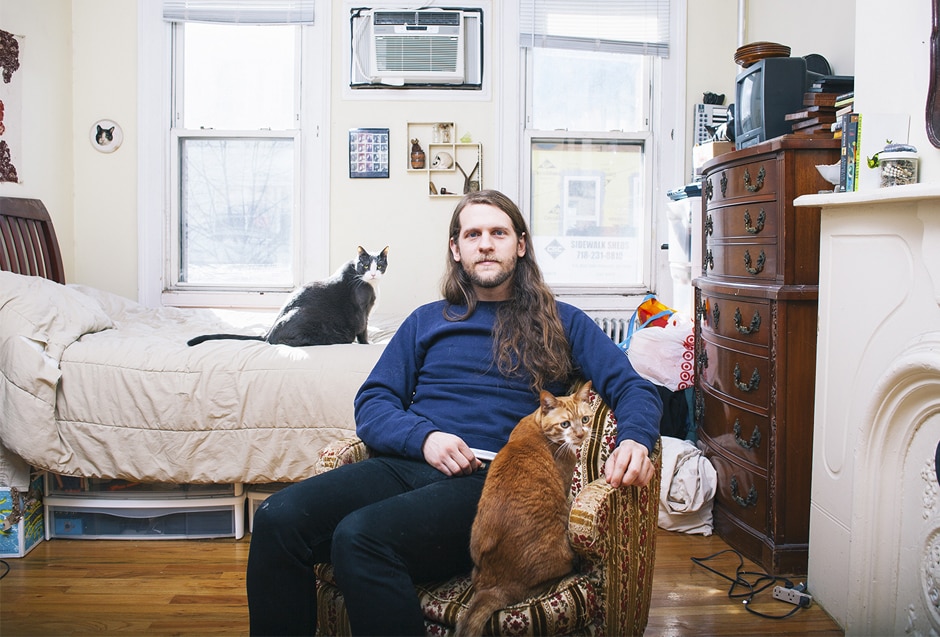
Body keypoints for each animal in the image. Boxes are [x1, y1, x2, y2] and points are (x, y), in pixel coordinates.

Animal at [187, 246, 390, 346]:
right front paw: (368, 343)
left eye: (379, 266)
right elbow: (363, 331)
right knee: (283, 342)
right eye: (365, 266)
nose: (373, 274)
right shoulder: (362, 314)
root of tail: (267, 333)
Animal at [458, 380, 596, 632]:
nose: (581, 434)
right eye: (565, 424)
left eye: (585, 419)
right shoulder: (564, 483)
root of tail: (498, 586)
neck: (537, 427)